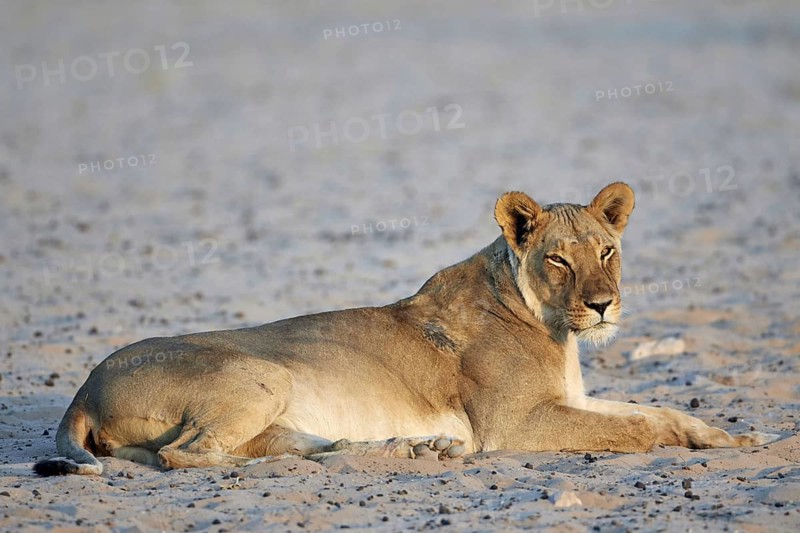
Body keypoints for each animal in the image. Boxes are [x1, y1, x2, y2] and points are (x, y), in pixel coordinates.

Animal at [34, 182, 775, 476]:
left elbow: (657, 408)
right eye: (560, 258)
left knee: (292, 446)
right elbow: (638, 430)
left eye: (607, 250)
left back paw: (409, 446)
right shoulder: (517, 425)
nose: (603, 305)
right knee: (189, 454)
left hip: (271, 400)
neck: (555, 329)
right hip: (257, 372)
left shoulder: (572, 400)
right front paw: (693, 442)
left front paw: (734, 436)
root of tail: (82, 389)